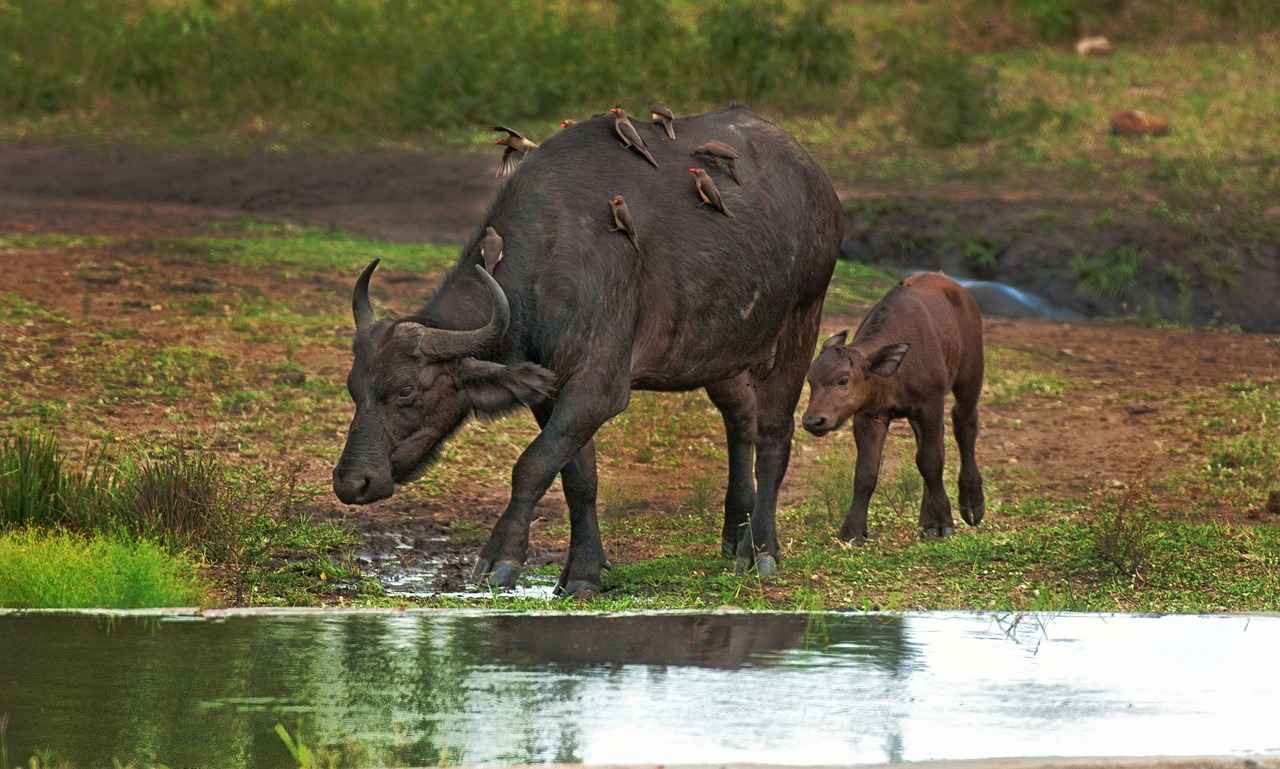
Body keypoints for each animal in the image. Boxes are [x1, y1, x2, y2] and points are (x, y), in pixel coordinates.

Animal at [333, 106, 842, 594]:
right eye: (355, 390)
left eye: (405, 391)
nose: (352, 482)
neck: (550, 260)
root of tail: (816, 182)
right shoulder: (550, 391)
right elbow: (577, 477)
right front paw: (583, 572)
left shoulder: (597, 388)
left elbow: (532, 464)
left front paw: (500, 559)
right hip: (722, 352)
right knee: (741, 421)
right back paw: (735, 536)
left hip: (802, 320)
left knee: (774, 434)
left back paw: (761, 550)